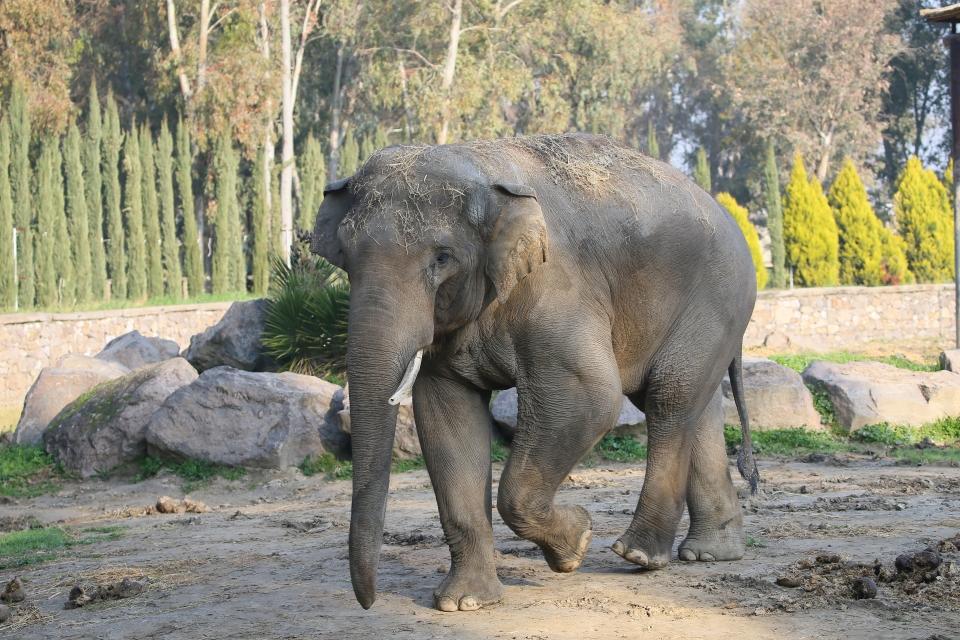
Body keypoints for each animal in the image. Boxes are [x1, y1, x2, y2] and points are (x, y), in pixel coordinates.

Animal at [312, 132, 760, 612]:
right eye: (346, 257)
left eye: (442, 258)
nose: (368, 603)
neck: (482, 165)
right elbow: (447, 417)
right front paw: (464, 603)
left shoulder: (556, 286)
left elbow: (589, 398)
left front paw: (576, 543)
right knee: (695, 404)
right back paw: (710, 553)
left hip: (718, 295)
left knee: (669, 397)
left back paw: (639, 554)